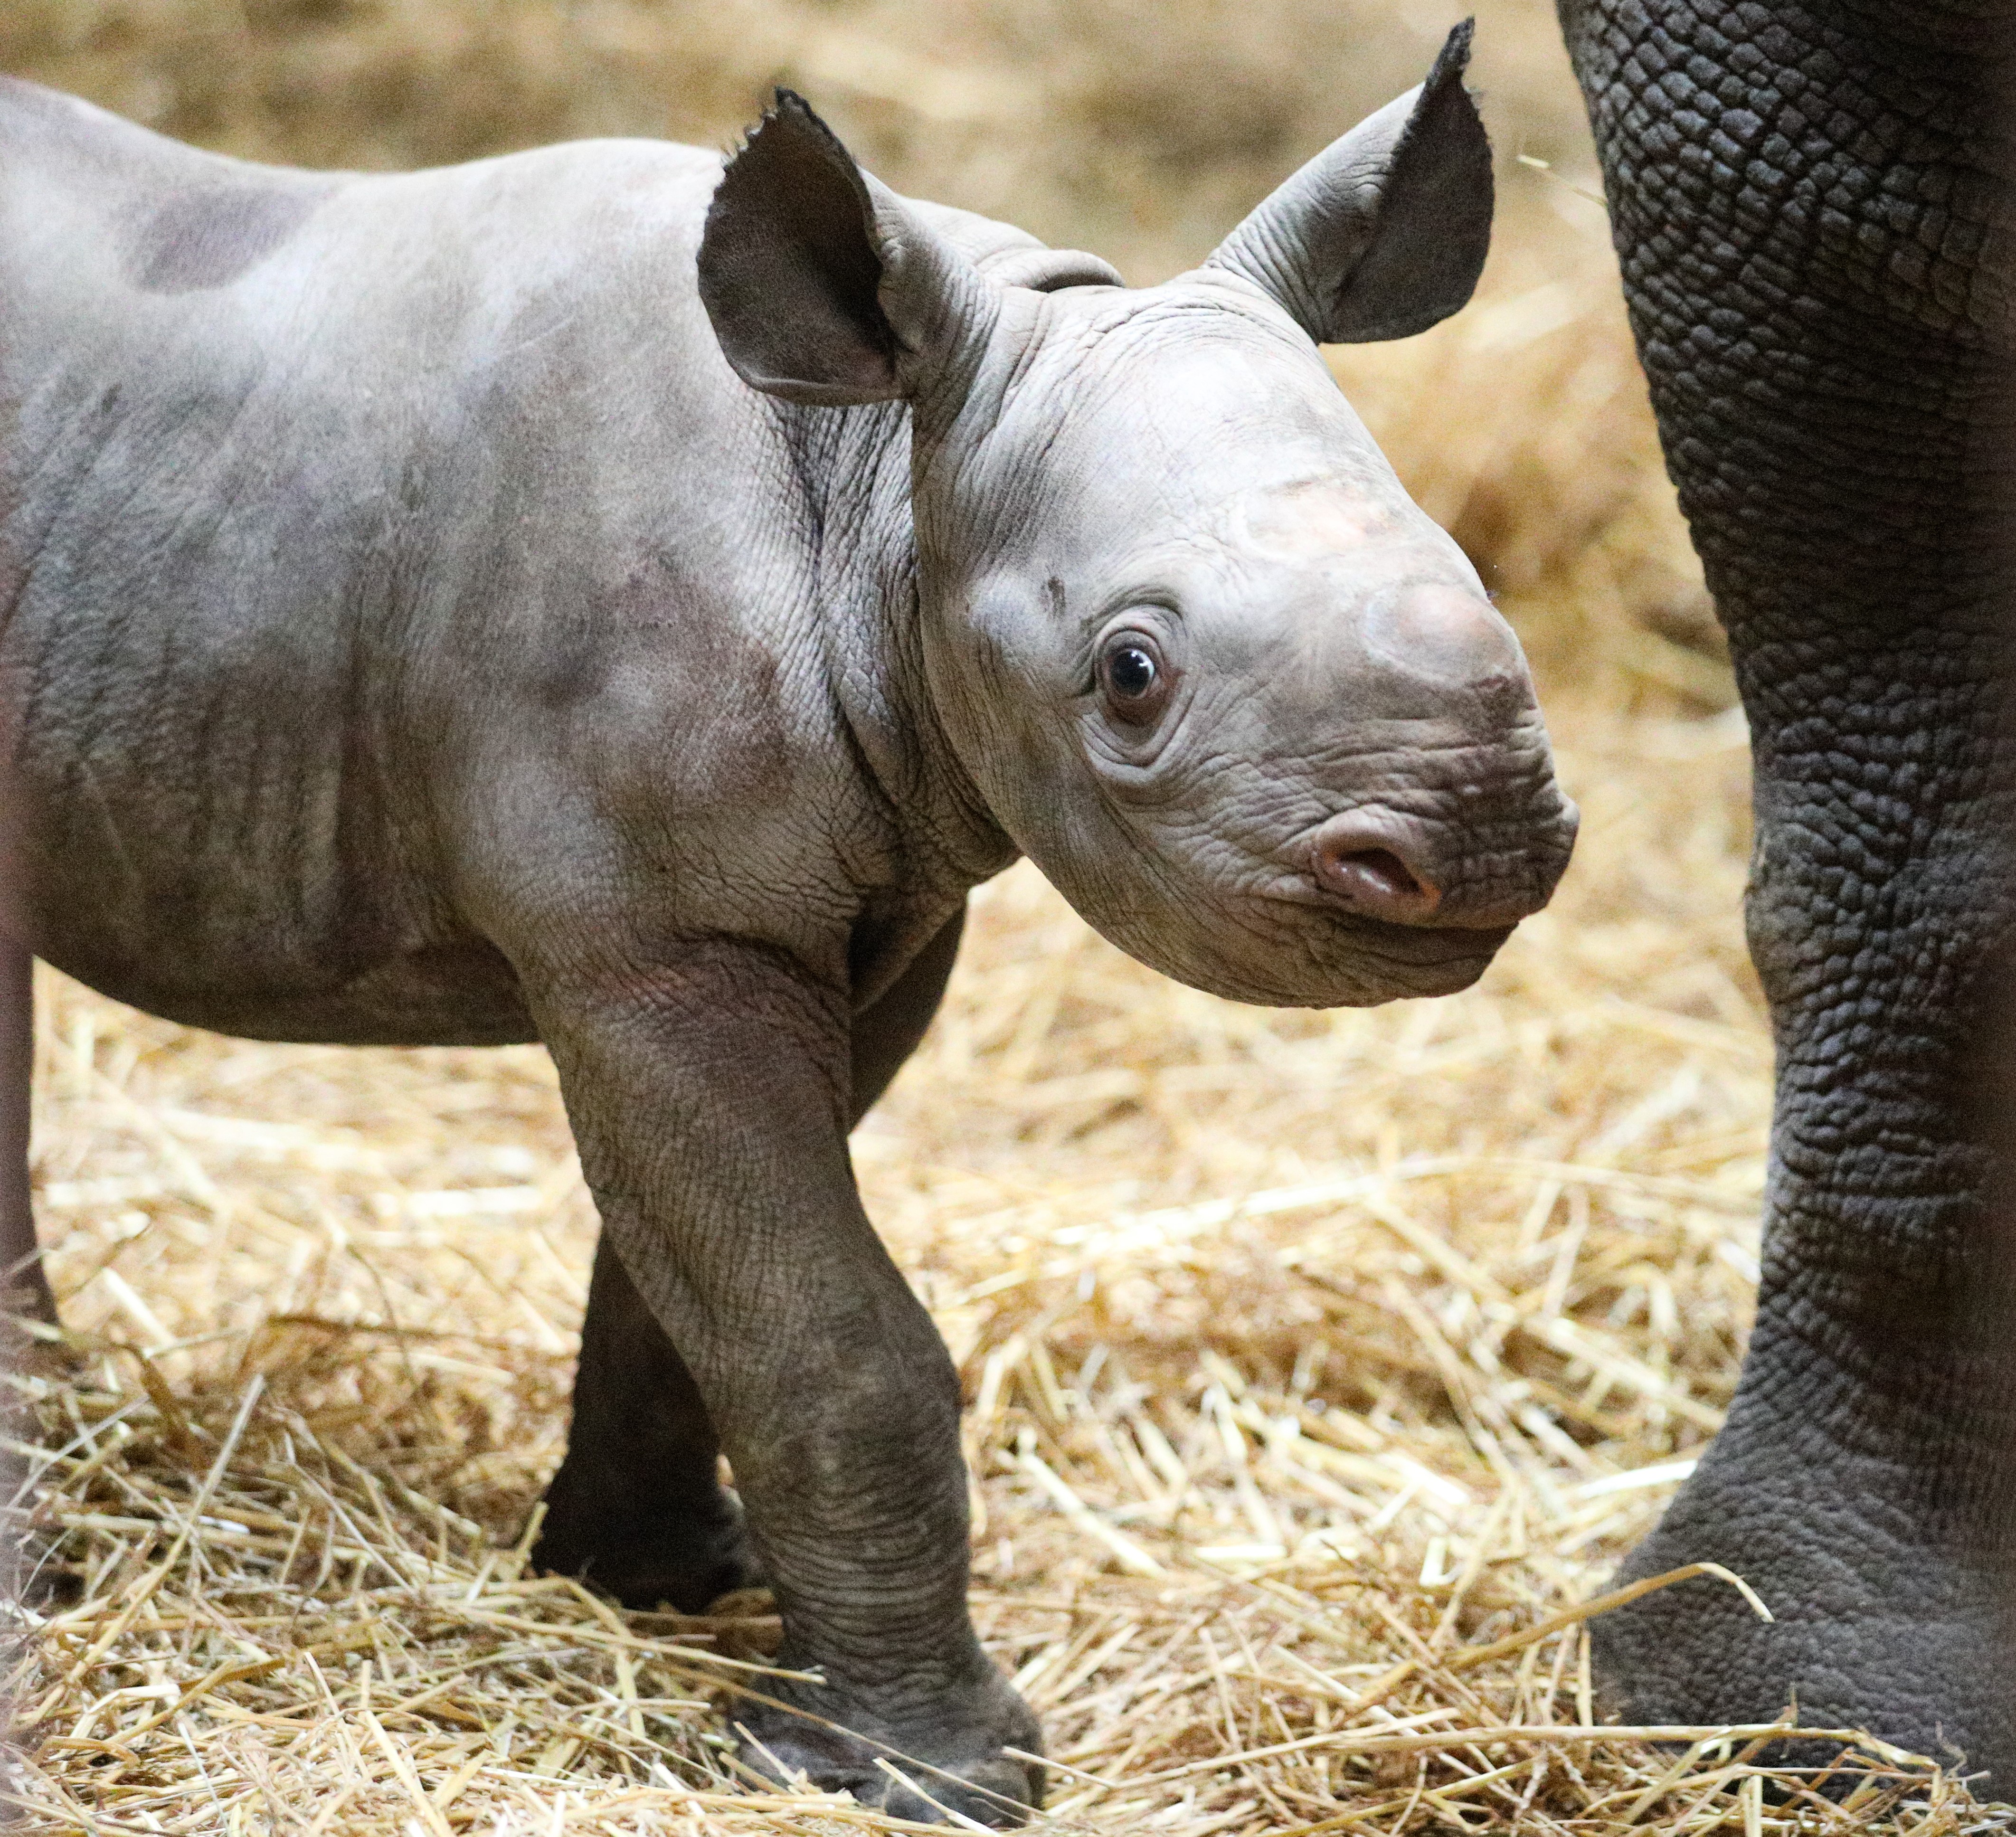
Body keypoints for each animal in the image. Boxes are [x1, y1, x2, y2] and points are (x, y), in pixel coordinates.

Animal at [0, 23, 1576, 1821]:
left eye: (1479, 581)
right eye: (1130, 674)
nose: (1477, 838)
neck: (883, 478)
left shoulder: (863, 916)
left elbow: (701, 1283)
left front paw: (652, 1581)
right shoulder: (660, 937)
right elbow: (827, 1328)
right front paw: (924, 1770)